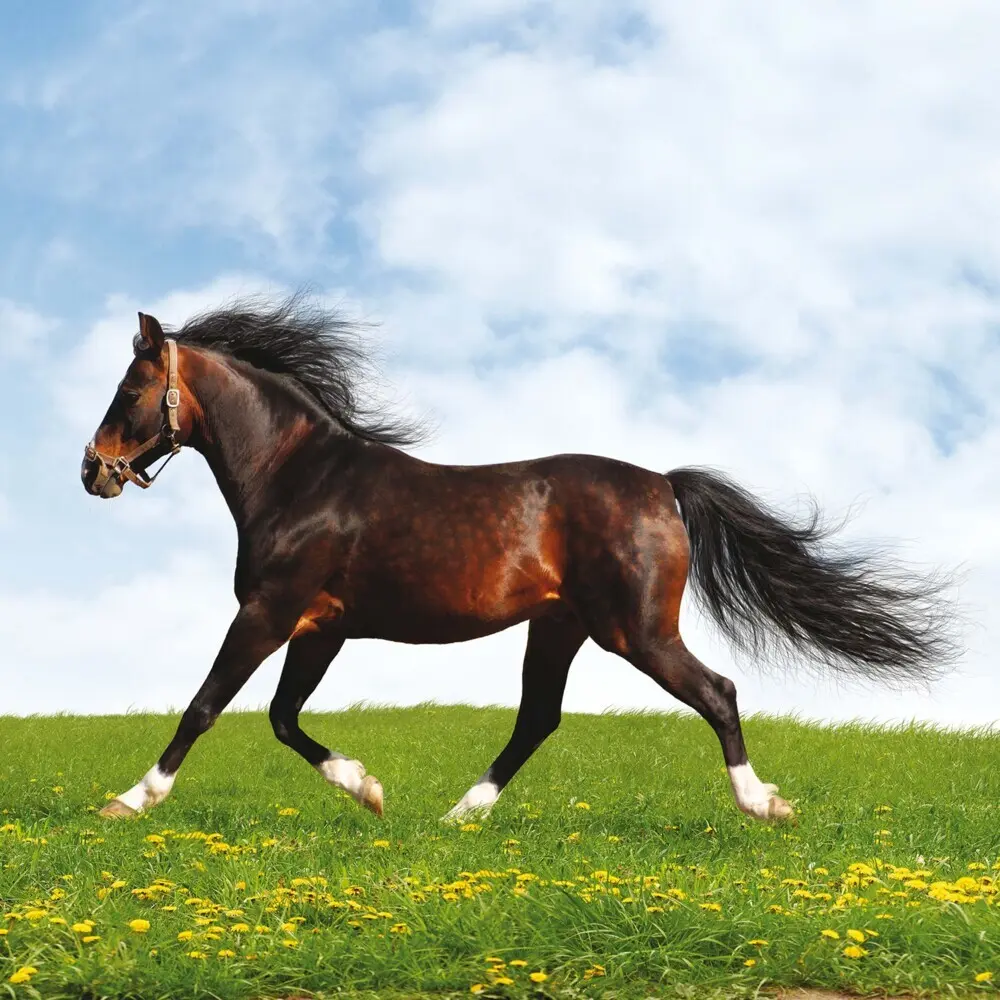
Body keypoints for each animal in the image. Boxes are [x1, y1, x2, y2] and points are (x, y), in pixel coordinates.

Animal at [81, 297, 960, 824]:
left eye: (130, 390)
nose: (93, 472)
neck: (301, 477)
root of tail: (664, 485)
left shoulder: (268, 612)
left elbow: (207, 706)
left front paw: (130, 800)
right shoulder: (320, 627)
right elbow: (282, 718)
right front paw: (369, 790)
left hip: (636, 631)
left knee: (717, 691)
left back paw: (762, 803)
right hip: (560, 628)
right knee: (538, 718)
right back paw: (458, 814)